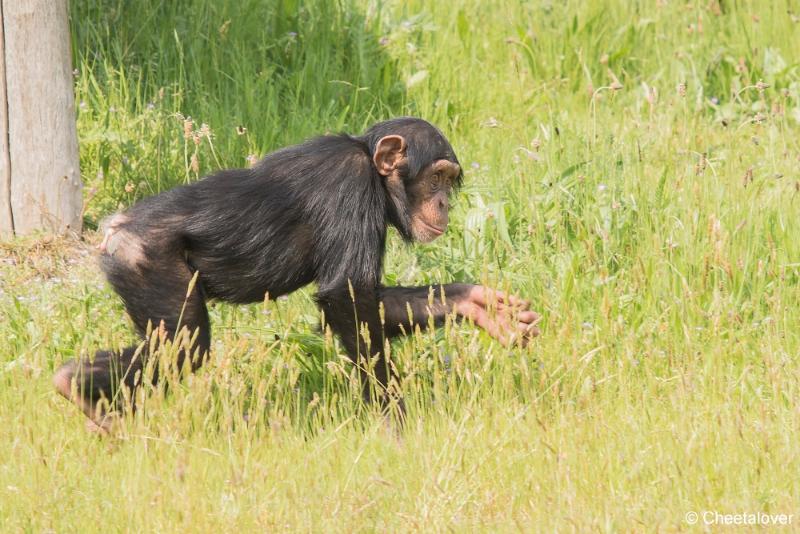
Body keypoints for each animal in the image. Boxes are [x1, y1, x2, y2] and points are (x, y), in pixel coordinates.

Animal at [53, 117, 540, 432]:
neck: (372, 168)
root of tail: (113, 230)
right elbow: (347, 295)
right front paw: (392, 417)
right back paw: (75, 387)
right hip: (147, 262)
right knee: (183, 345)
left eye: (449, 181)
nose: (444, 203)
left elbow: (374, 299)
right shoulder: (349, 185)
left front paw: (477, 304)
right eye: (436, 178)